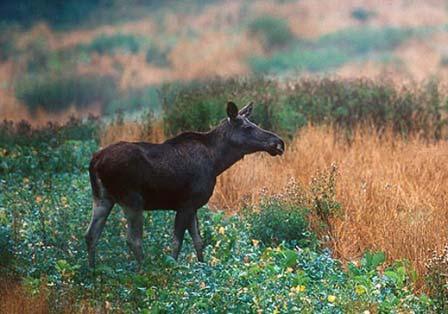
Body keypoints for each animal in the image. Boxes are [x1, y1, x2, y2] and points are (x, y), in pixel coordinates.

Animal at [86, 102, 286, 268]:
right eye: (247, 127)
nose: (279, 142)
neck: (217, 162)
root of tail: (95, 162)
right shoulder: (185, 204)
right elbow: (177, 242)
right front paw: (174, 270)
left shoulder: (194, 206)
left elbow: (198, 240)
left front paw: (203, 268)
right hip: (132, 200)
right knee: (133, 240)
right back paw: (144, 271)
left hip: (102, 198)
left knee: (91, 235)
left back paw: (93, 272)